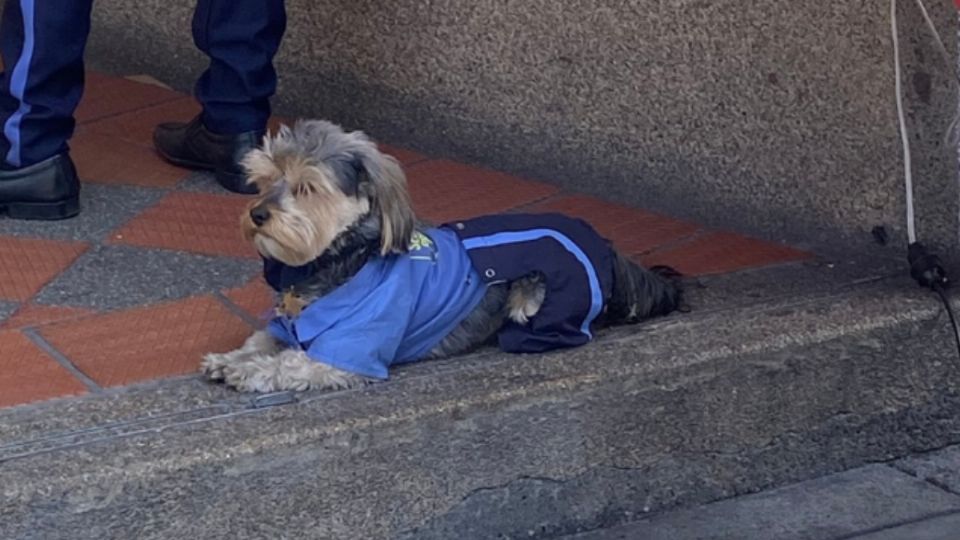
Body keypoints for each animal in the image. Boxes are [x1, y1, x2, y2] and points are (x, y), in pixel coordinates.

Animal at [202, 120, 684, 392]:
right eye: (265, 179)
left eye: (306, 187)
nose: (257, 214)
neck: (341, 262)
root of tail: (609, 248)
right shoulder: (288, 324)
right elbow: (261, 340)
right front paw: (230, 359)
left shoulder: (346, 353)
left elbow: (292, 362)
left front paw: (250, 371)